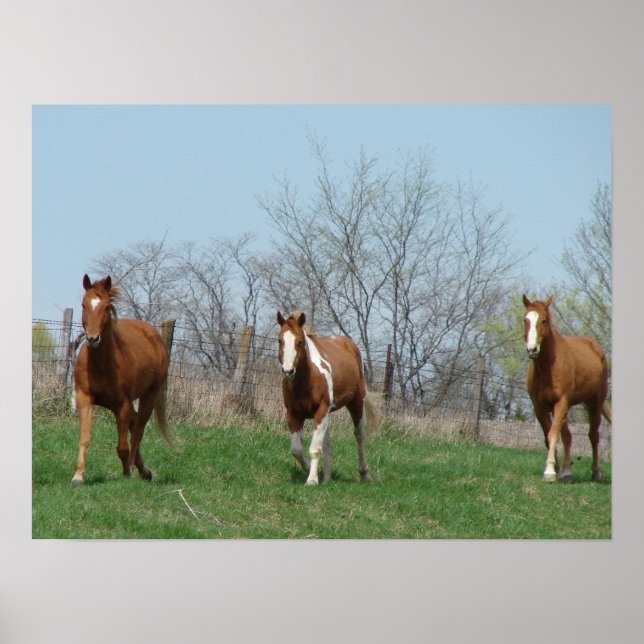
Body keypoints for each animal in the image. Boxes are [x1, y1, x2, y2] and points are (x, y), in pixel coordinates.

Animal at [71, 274, 172, 485]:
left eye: (106, 307)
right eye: (84, 305)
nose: (93, 338)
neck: (101, 364)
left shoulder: (122, 405)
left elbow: (123, 446)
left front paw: (127, 474)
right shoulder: (84, 399)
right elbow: (84, 437)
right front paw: (78, 475)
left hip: (149, 396)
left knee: (138, 431)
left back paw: (136, 470)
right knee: (135, 425)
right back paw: (143, 470)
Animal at [276, 311, 379, 485]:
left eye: (300, 341)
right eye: (280, 340)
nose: (288, 371)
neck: (306, 380)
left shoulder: (321, 410)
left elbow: (314, 449)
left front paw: (312, 480)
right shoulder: (293, 414)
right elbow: (297, 450)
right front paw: (312, 471)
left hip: (357, 403)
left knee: (359, 436)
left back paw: (364, 475)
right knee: (327, 442)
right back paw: (326, 477)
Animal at [522, 294, 611, 482]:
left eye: (544, 320)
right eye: (525, 320)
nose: (532, 349)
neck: (548, 366)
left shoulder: (561, 402)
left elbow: (553, 434)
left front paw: (549, 471)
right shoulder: (540, 408)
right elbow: (549, 437)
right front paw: (555, 469)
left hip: (594, 403)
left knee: (593, 436)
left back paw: (596, 472)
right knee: (568, 436)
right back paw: (567, 472)